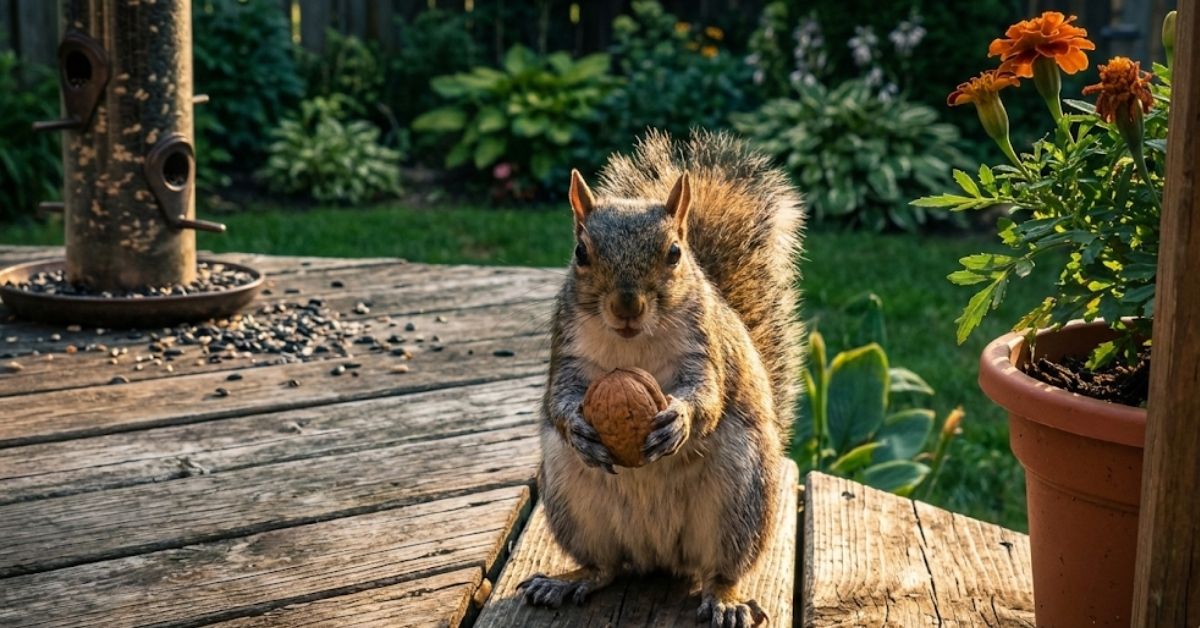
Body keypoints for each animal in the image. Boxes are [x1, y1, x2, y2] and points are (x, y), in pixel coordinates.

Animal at [519, 129, 804, 628]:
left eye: (674, 253)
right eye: (580, 252)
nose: (627, 307)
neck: (634, 341)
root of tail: (657, 553)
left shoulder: (704, 348)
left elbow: (708, 396)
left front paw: (680, 421)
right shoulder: (567, 349)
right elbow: (559, 398)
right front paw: (578, 427)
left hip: (741, 496)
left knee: (721, 570)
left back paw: (725, 600)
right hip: (573, 500)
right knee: (606, 566)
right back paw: (567, 580)